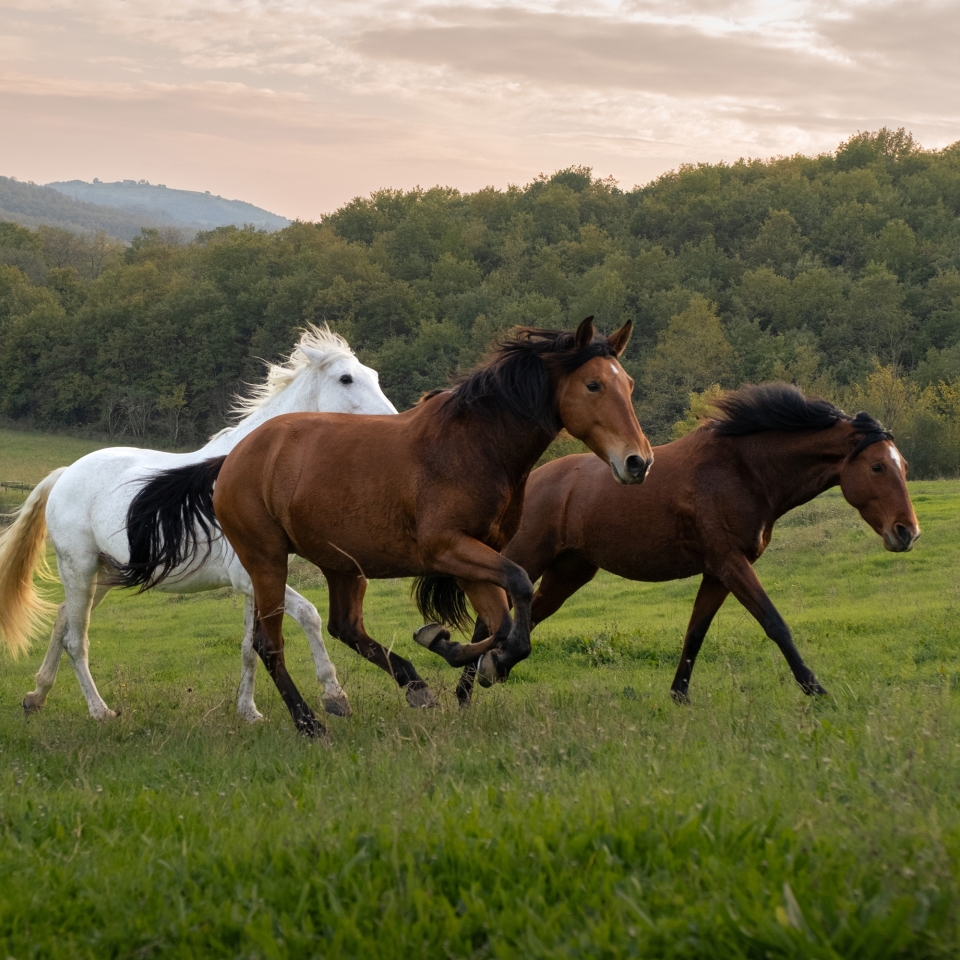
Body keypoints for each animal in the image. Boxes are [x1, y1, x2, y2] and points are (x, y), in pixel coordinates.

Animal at [0, 326, 397, 722]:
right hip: (79, 569)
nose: (393, 424)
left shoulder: (259, 579)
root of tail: (66, 472)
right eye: (346, 378)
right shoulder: (249, 578)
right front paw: (334, 695)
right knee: (75, 639)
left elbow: (249, 647)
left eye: (374, 375)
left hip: (103, 574)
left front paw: (249, 712)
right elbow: (310, 616)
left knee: (62, 620)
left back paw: (36, 696)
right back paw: (100, 712)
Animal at [107, 317, 654, 735]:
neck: (473, 446)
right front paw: (456, 649)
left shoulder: (477, 556)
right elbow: (516, 594)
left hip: (342, 565)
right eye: (593, 385)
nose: (638, 462)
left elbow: (505, 627)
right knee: (270, 644)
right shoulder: (449, 549)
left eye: (627, 385)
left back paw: (411, 685)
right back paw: (311, 721)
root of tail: (233, 458)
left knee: (344, 626)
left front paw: (454, 649)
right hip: (267, 561)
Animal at [453, 383, 920, 705]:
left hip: (569, 573)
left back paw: (487, 673)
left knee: (524, 619)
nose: (908, 532)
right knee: (489, 621)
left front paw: (679, 696)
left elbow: (696, 631)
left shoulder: (717, 571)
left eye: (903, 465)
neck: (743, 470)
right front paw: (814, 688)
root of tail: (530, 482)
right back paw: (466, 692)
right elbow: (774, 623)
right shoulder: (731, 563)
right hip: (525, 559)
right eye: (877, 467)